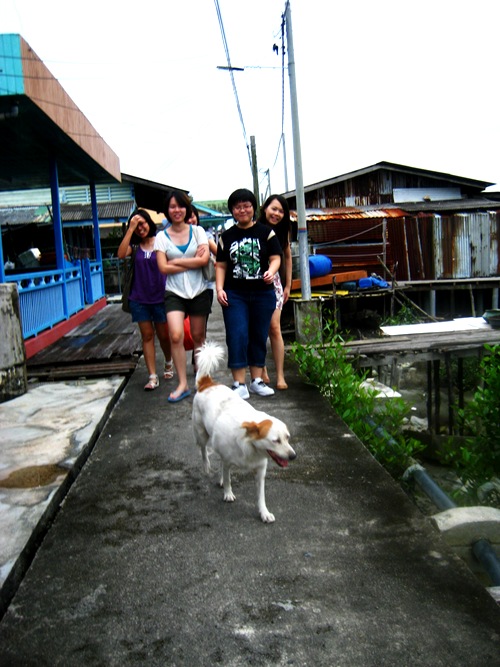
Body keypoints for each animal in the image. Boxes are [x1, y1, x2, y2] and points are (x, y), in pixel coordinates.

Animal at [192, 341, 296, 523]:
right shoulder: (228, 461)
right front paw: (228, 493)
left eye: (287, 438)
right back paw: (206, 466)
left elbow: (261, 496)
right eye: (275, 441)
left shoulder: (260, 471)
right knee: (204, 450)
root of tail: (207, 383)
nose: (293, 456)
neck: (251, 446)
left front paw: (264, 512)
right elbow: (228, 478)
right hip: (201, 433)